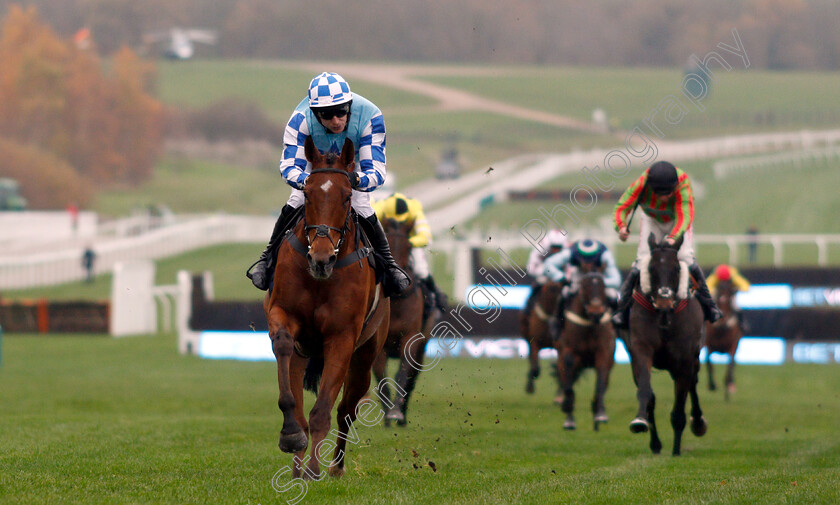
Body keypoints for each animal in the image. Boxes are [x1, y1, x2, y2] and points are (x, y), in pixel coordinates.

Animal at [266, 137, 390, 476]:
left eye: (347, 196)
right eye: (308, 193)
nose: (321, 259)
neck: (320, 280)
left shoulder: (342, 337)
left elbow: (324, 409)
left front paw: (314, 470)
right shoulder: (283, 316)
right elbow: (283, 350)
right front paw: (291, 437)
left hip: (366, 355)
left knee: (347, 410)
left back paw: (335, 467)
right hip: (304, 355)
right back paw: (298, 463)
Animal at [372, 217, 440, 426]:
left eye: (408, 246)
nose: (396, 279)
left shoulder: (410, 338)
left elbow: (402, 374)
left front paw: (396, 413)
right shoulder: (380, 345)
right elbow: (381, 377)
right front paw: (387, 417)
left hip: (422, 345)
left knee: (412, 379)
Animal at [556, 270, 616, 432]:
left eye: (603, 286)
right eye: (584, 287)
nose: (596, 311)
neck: (589, 324)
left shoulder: (604, 352)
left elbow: (600, 383)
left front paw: (600, 414)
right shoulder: (569, 350)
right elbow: (568, 382)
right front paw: (567, 411)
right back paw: (569, 417)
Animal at [628, 234, 704, 454]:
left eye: (677, 268)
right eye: (651, 268)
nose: (664, 300)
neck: (663, 316)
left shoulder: (684, 360)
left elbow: (679, 408)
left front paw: (676, 451)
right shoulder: (640, 350)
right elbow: (646, 391)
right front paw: (640, 422)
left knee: (693, 385)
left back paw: (698, 422)